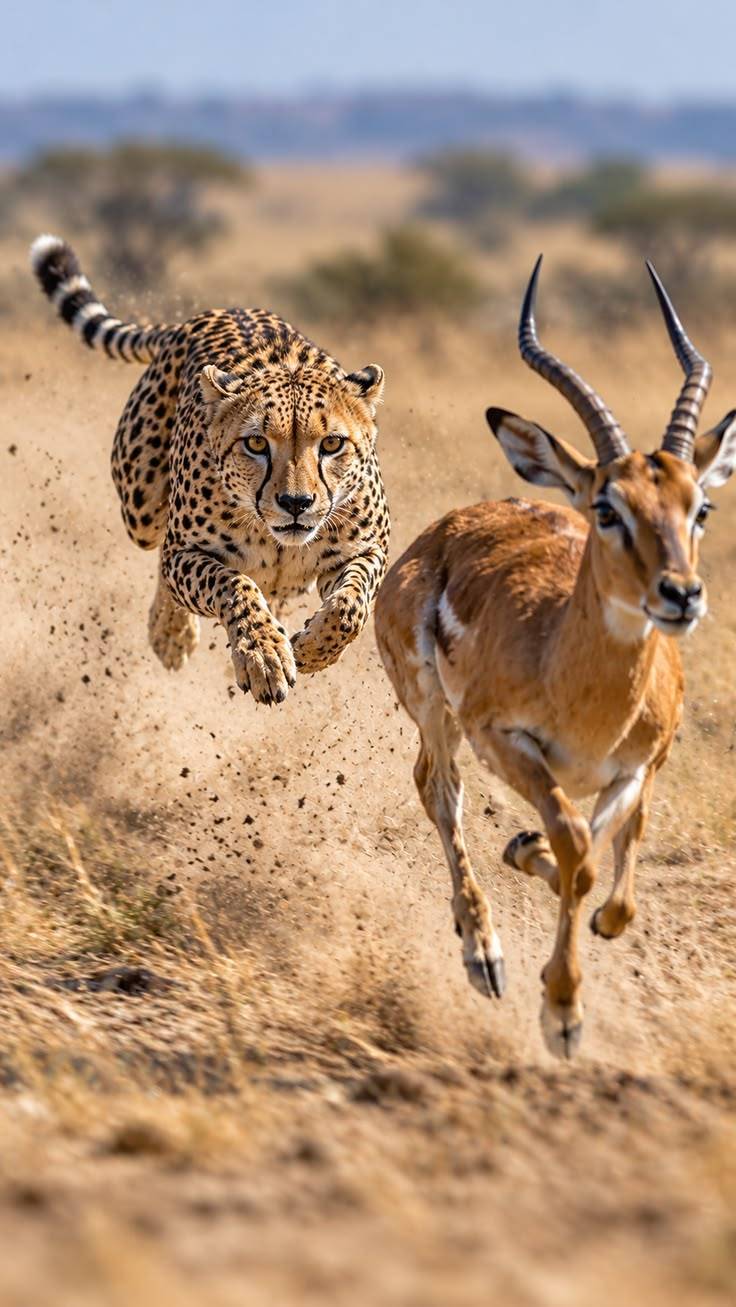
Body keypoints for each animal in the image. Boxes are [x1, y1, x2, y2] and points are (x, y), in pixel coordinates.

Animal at [30, 234, 390, 705]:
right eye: (256, 443)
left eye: (331, 444)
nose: (296, 503)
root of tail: (207, 315)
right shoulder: (186, 550)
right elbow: (230, 583)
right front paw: (263, 655)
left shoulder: (369, 549)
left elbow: (351, 607)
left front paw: (311, 649)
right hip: (141, 507)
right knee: (164, 558)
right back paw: (171, 635)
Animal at [375, 258, 736, 1057]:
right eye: (607, 506)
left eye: (700, 506)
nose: (681, 594)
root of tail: (446, 526)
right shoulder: (505, 741)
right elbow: (576, 845)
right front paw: (563, 1012)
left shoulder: (638, 767)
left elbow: (607, 866)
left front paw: (535, 860)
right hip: (436, 713)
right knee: (437, 789)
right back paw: (484, 956)